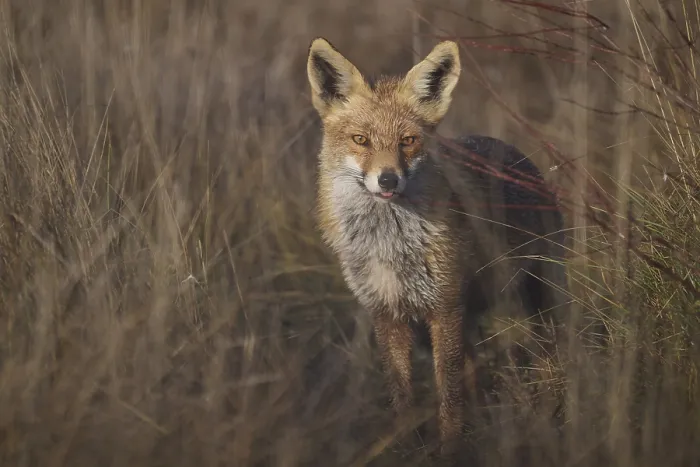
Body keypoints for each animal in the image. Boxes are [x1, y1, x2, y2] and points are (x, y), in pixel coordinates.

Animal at [306, 37, 567, 457]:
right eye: (361, 140)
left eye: (408, 141)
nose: (387, 179)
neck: (391, 246)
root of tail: (514, 152)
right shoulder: (388, 313)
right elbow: (402, 395)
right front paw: (405, 448)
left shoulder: (445, 309)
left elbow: (449, 394)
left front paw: (450, 449)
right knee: (477, 369)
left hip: (538, 301)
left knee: (549, 359)